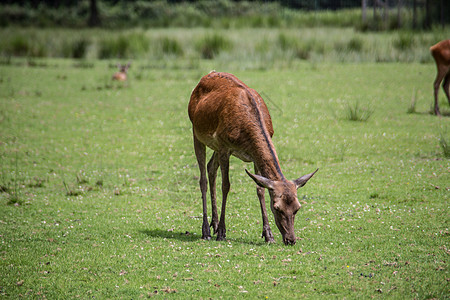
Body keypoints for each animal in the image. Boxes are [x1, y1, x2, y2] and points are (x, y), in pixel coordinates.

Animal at [188, 71, 318, 245]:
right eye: (277, 207)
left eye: (297, 208)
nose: (291, 239)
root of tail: (208, 75)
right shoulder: (224, 147)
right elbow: (226, 186)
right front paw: (222, 232)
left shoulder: (253, 155)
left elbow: (260, 189)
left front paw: (268, 235)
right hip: (197, 133)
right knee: (203, 179)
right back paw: (207, 231)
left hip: (214, 146)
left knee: (210, 168)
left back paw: (213, 223)